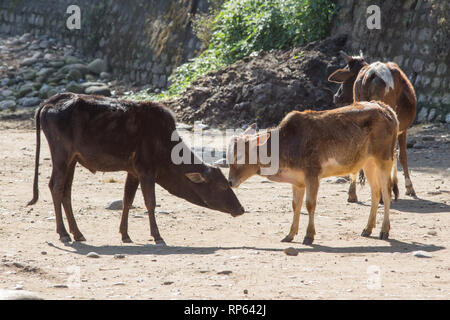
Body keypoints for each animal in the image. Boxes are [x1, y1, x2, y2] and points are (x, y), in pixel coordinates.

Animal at [27, 94, 243, 244]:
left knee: (66, 192)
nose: (240, 209)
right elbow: (150, 203)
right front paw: (157, 236)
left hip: (72, 160)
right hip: (61, 156)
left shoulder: (133, 172)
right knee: (55, 187)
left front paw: (125, 234)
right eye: (222, 186)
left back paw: (77, 233)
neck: (164, 142)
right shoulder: (146, 171)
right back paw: (63, 233)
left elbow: (127, 201)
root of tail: (51, 101)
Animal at [229, 101, 398, 244]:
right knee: (375, 192)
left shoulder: (312, 174)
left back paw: (384, 231)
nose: (230, 181)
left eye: (239, 156)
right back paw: (367, 229)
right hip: (368, 162)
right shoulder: (297, 181)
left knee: (387, 192)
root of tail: (387, 109)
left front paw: (309, 236)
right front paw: (289, 235)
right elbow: (295, 205)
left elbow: (310, 204)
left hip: (384, 158)